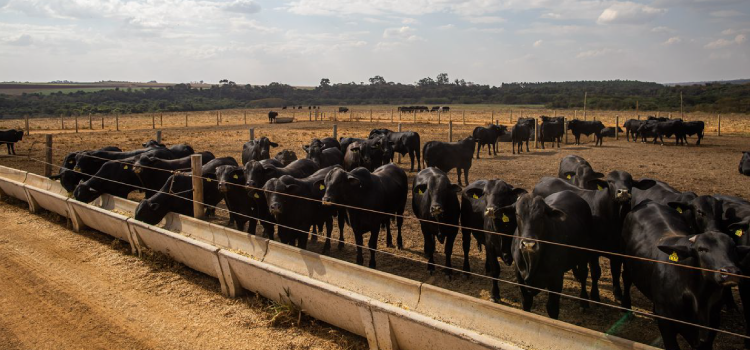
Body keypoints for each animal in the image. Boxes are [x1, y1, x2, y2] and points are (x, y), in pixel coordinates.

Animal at [500, 191, 600, 320]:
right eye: (517, 214)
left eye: (542, 215)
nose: (528, 244)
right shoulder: (519, 275)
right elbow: (526, 302)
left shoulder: (556, 278)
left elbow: (552, 308)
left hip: (584, 255)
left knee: (583, 275)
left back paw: (584, 302)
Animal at [624, 200, 748, 350]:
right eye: (702, 249)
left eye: (733, 248)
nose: (730, 272)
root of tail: (649, 202)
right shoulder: (666, 324)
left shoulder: (713, 323)